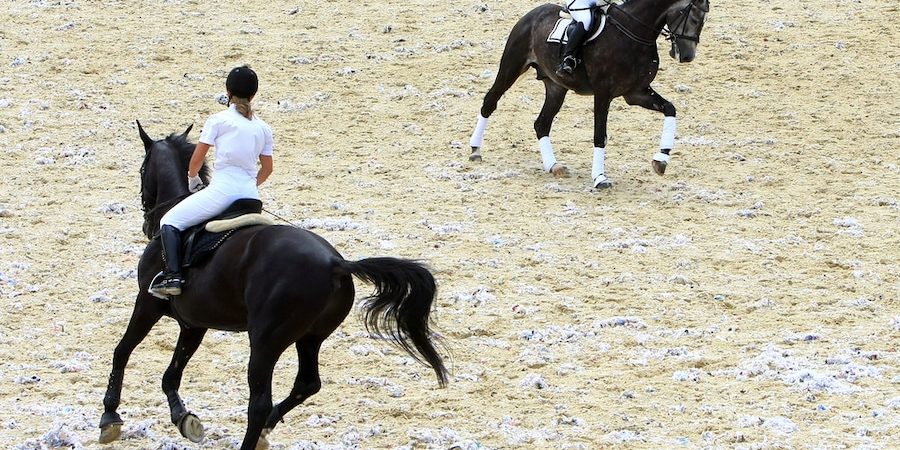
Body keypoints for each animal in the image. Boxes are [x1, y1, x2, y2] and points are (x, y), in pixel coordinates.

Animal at [468, 0, 708, 188]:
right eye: (695, 18)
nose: (687, 56)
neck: (634, 34)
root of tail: (533, 14)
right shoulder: (603, 93)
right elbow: (600, 135)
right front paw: (600, 178)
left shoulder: (636, 93)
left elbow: (670, 108)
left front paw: (661, 160)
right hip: (511, 67)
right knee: (489, 102)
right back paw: (475, 150)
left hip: (556, 87)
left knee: (541, 124)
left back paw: (553, 165)